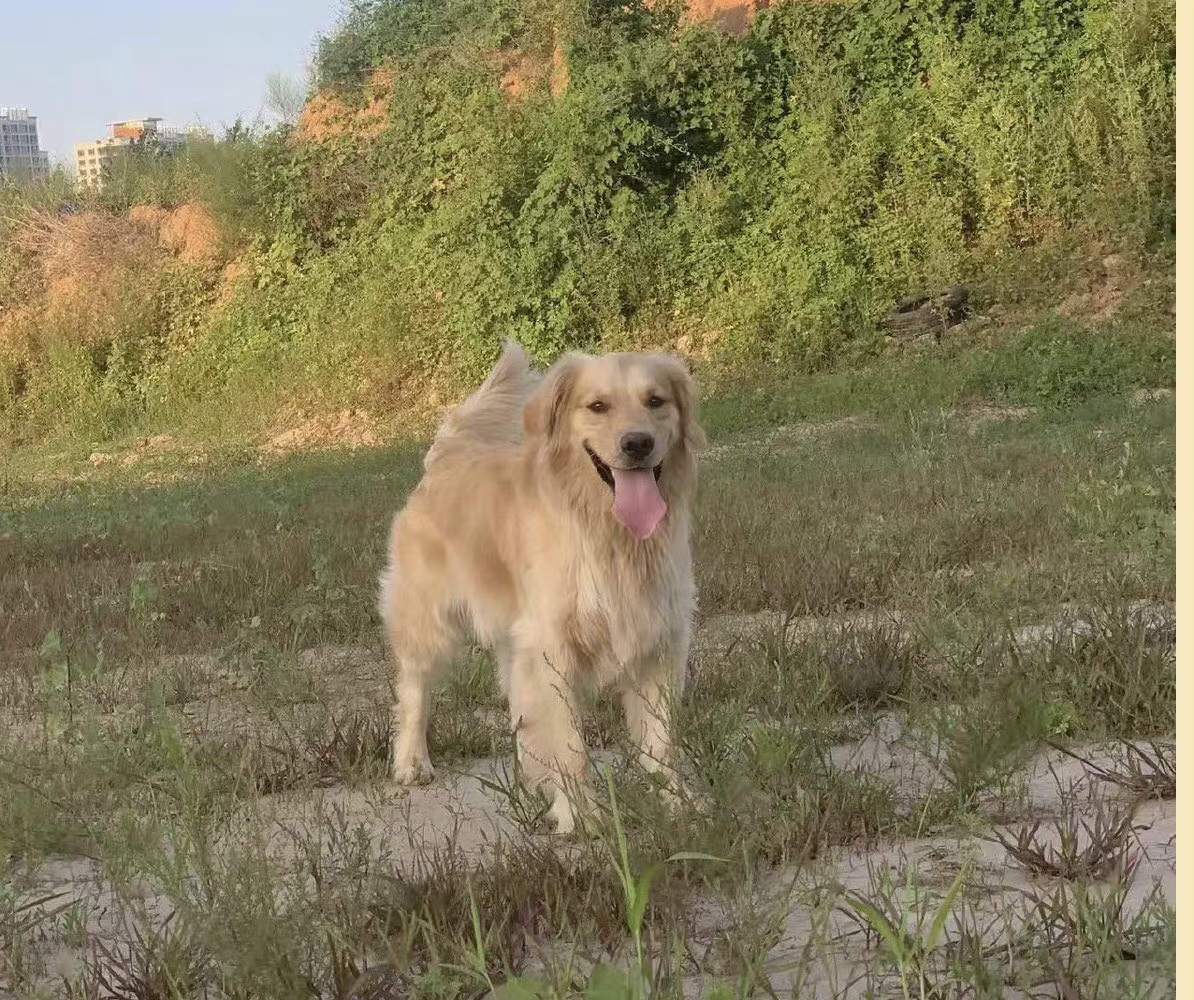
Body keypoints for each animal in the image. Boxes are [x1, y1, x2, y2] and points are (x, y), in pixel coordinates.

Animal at [377, 341, 702, 835]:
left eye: (655, 401)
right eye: (597, 406)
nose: (637, 443)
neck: (607, 533)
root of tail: (448, 452)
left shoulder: (659, 638)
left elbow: (661, 741)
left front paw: (677, 806)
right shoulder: (552, 647)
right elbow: (569, 746)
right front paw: (583, 818)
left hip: (512, 638)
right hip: (428, 620)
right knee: (415, 690)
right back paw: (412, 762)